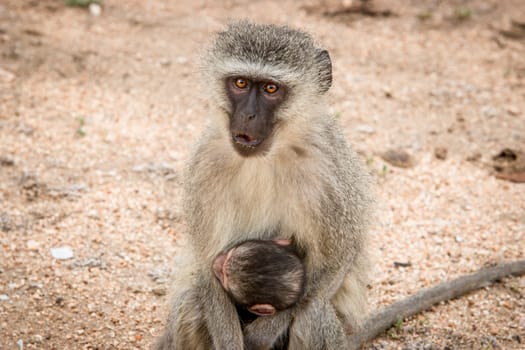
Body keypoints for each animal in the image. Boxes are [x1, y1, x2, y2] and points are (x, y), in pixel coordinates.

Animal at [156, 21, 372, 350]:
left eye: (271, 88)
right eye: (241, 83)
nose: (248, 116)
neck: (266, 157)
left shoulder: (328, 171)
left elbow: (338, 259)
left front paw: (261, 335)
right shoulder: (204, 165)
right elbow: (206, 268)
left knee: (313, 313)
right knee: (191, 302)